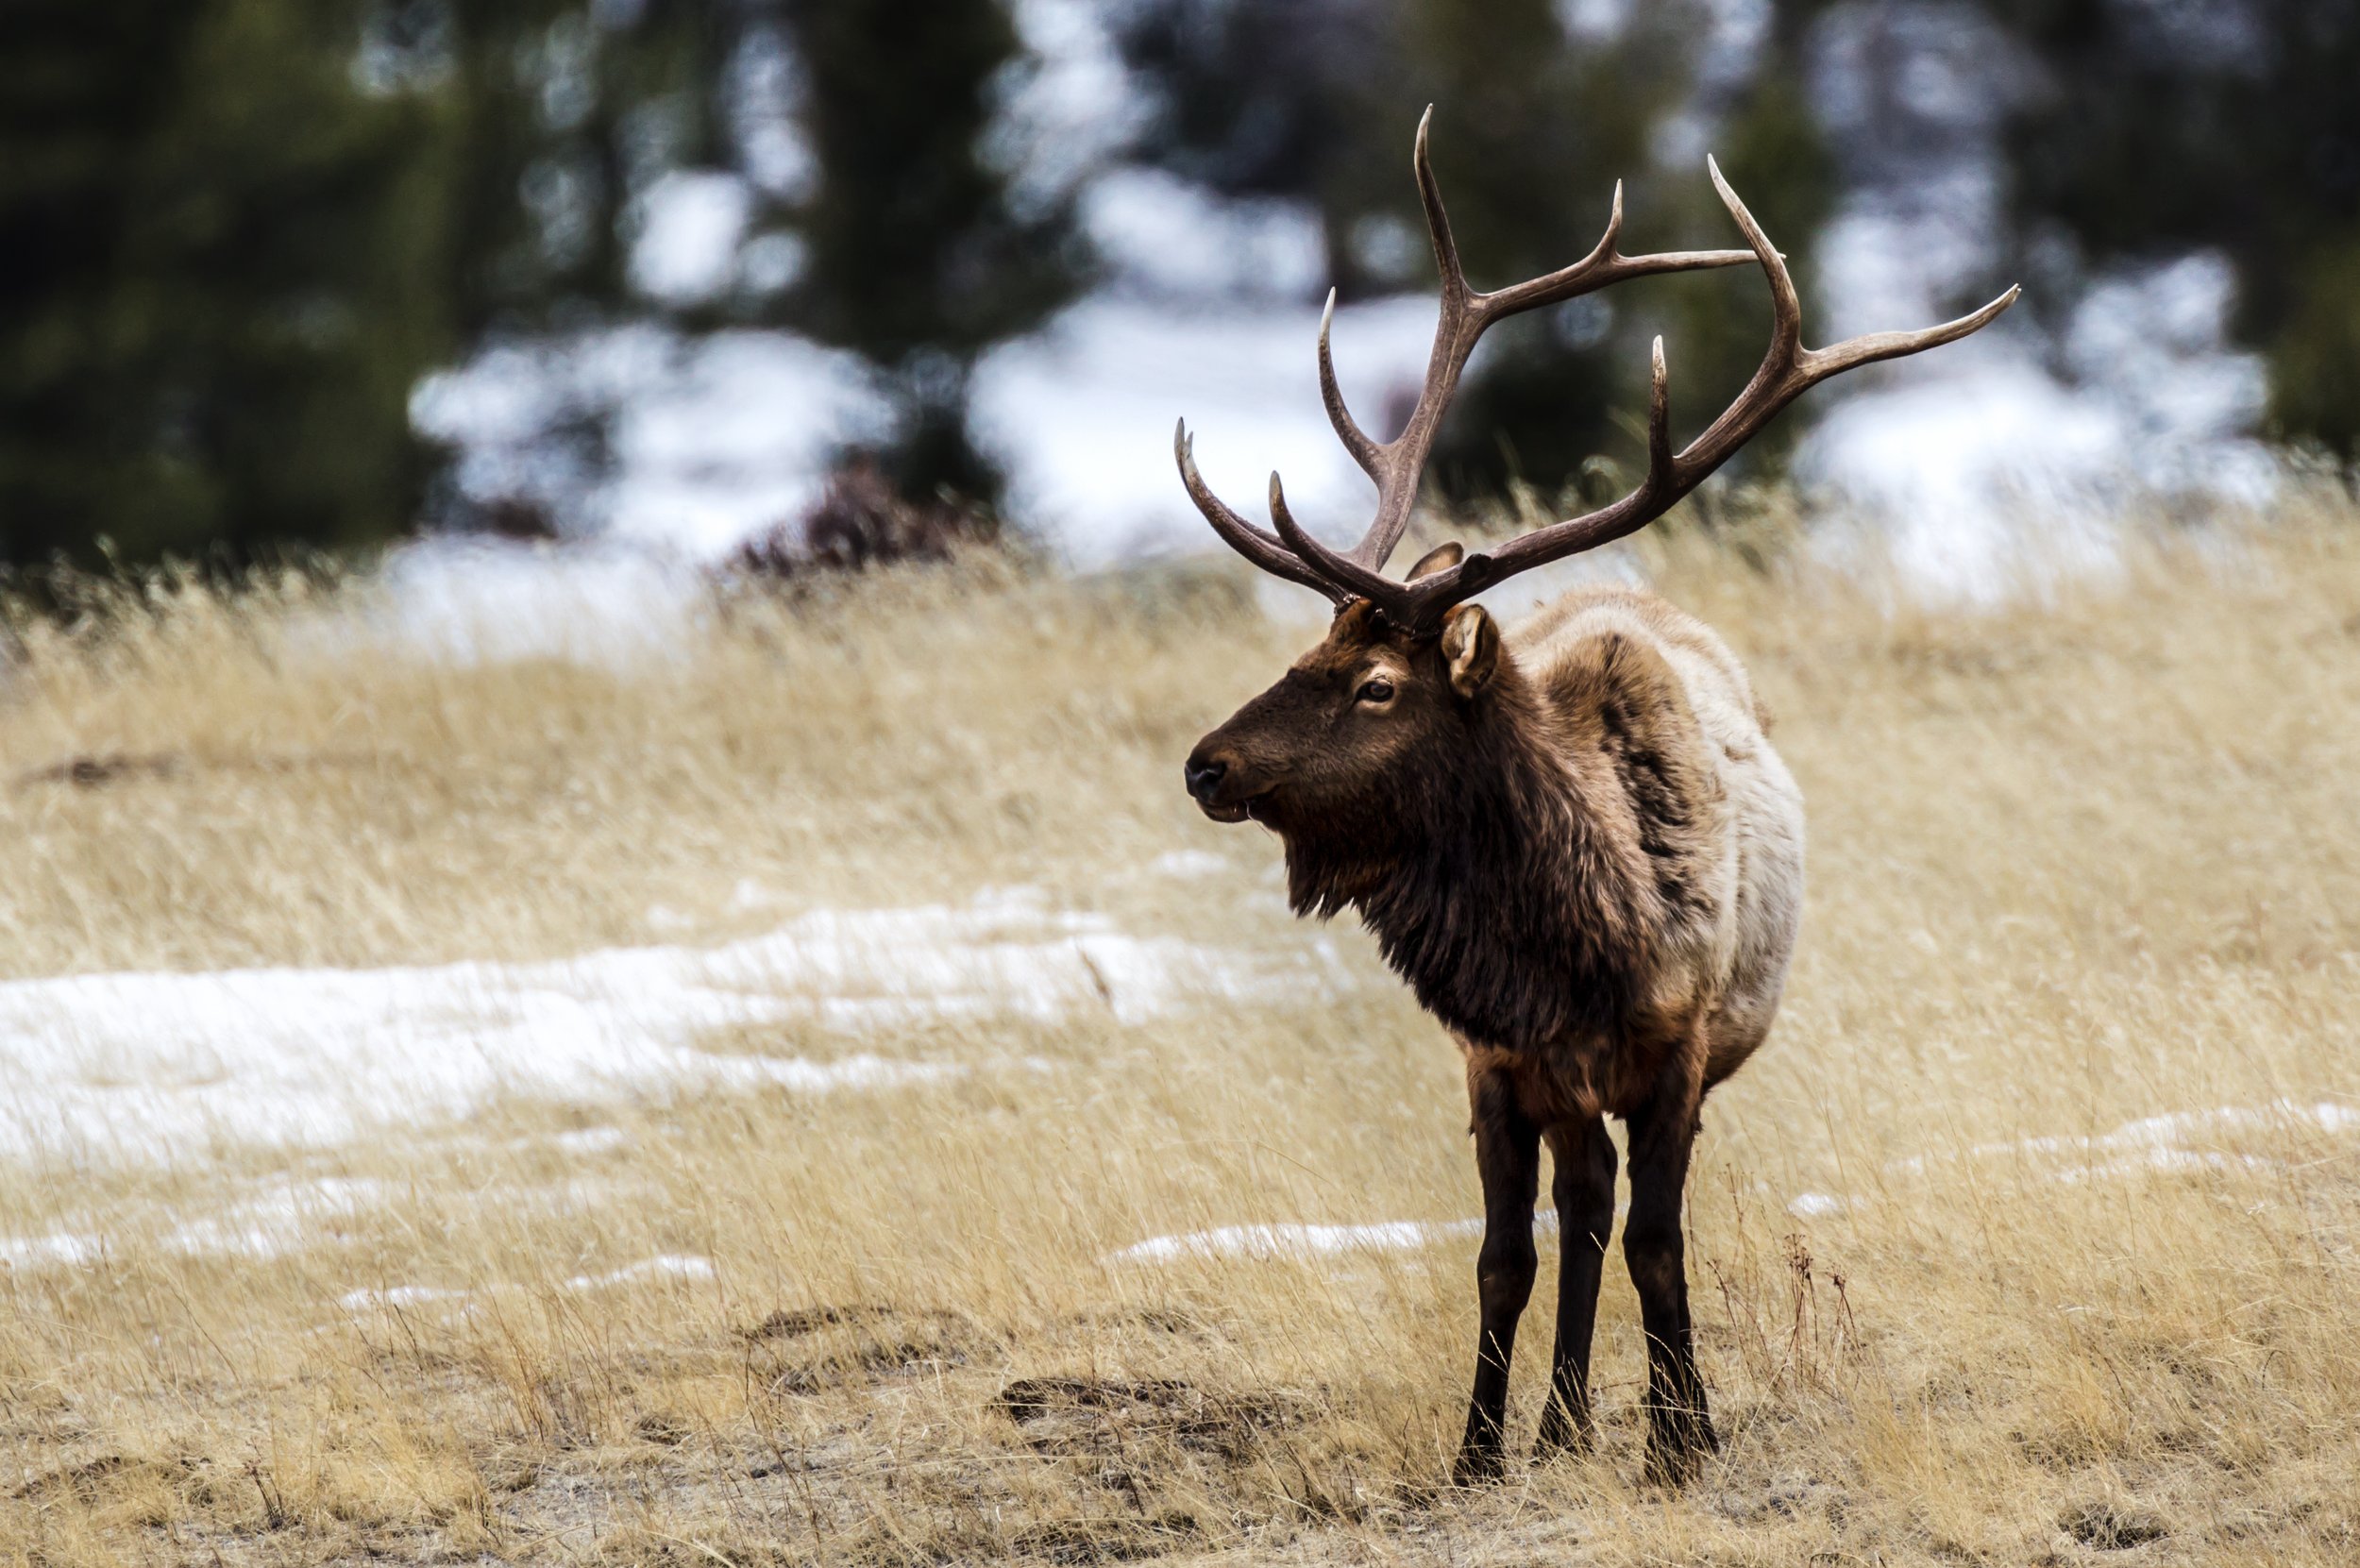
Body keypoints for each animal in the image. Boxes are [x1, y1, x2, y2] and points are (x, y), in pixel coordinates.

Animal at [1177, 111, 2014, 1485]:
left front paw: (1686, 1439)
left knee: (1611, 1212)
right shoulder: (1496, 1061)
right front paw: (1478, 1449)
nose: (1207, 764)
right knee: (1577, 1209)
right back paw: (1564, 1417)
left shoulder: (1678, 1046)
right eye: (1304, 653)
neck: (1573, 946)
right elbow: (1503, 1254)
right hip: (1565, 1091)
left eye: (1374, 685)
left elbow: (1657, 1241)